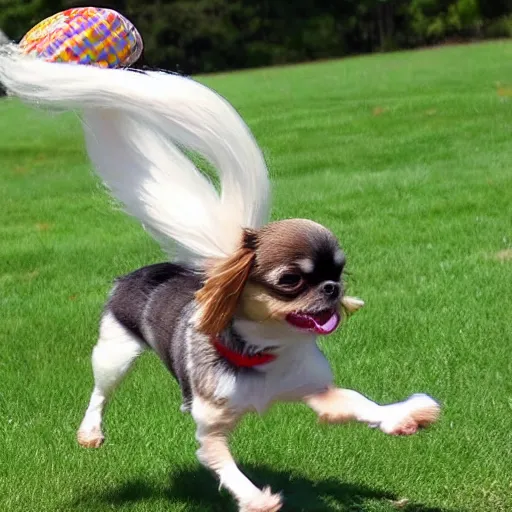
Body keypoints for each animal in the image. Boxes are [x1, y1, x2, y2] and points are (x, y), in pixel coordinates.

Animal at [0, 46, 440, 510]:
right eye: (290, 280)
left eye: (339, 271)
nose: (333, 289)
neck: (262, 353)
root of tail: (139, 272)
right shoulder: (211, 433)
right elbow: (226, 467)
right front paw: (259, 499)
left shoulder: (319, 394)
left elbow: (359, 402)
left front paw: (403, 416)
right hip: (114, 352)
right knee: (100, 393)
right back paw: (90, 432)